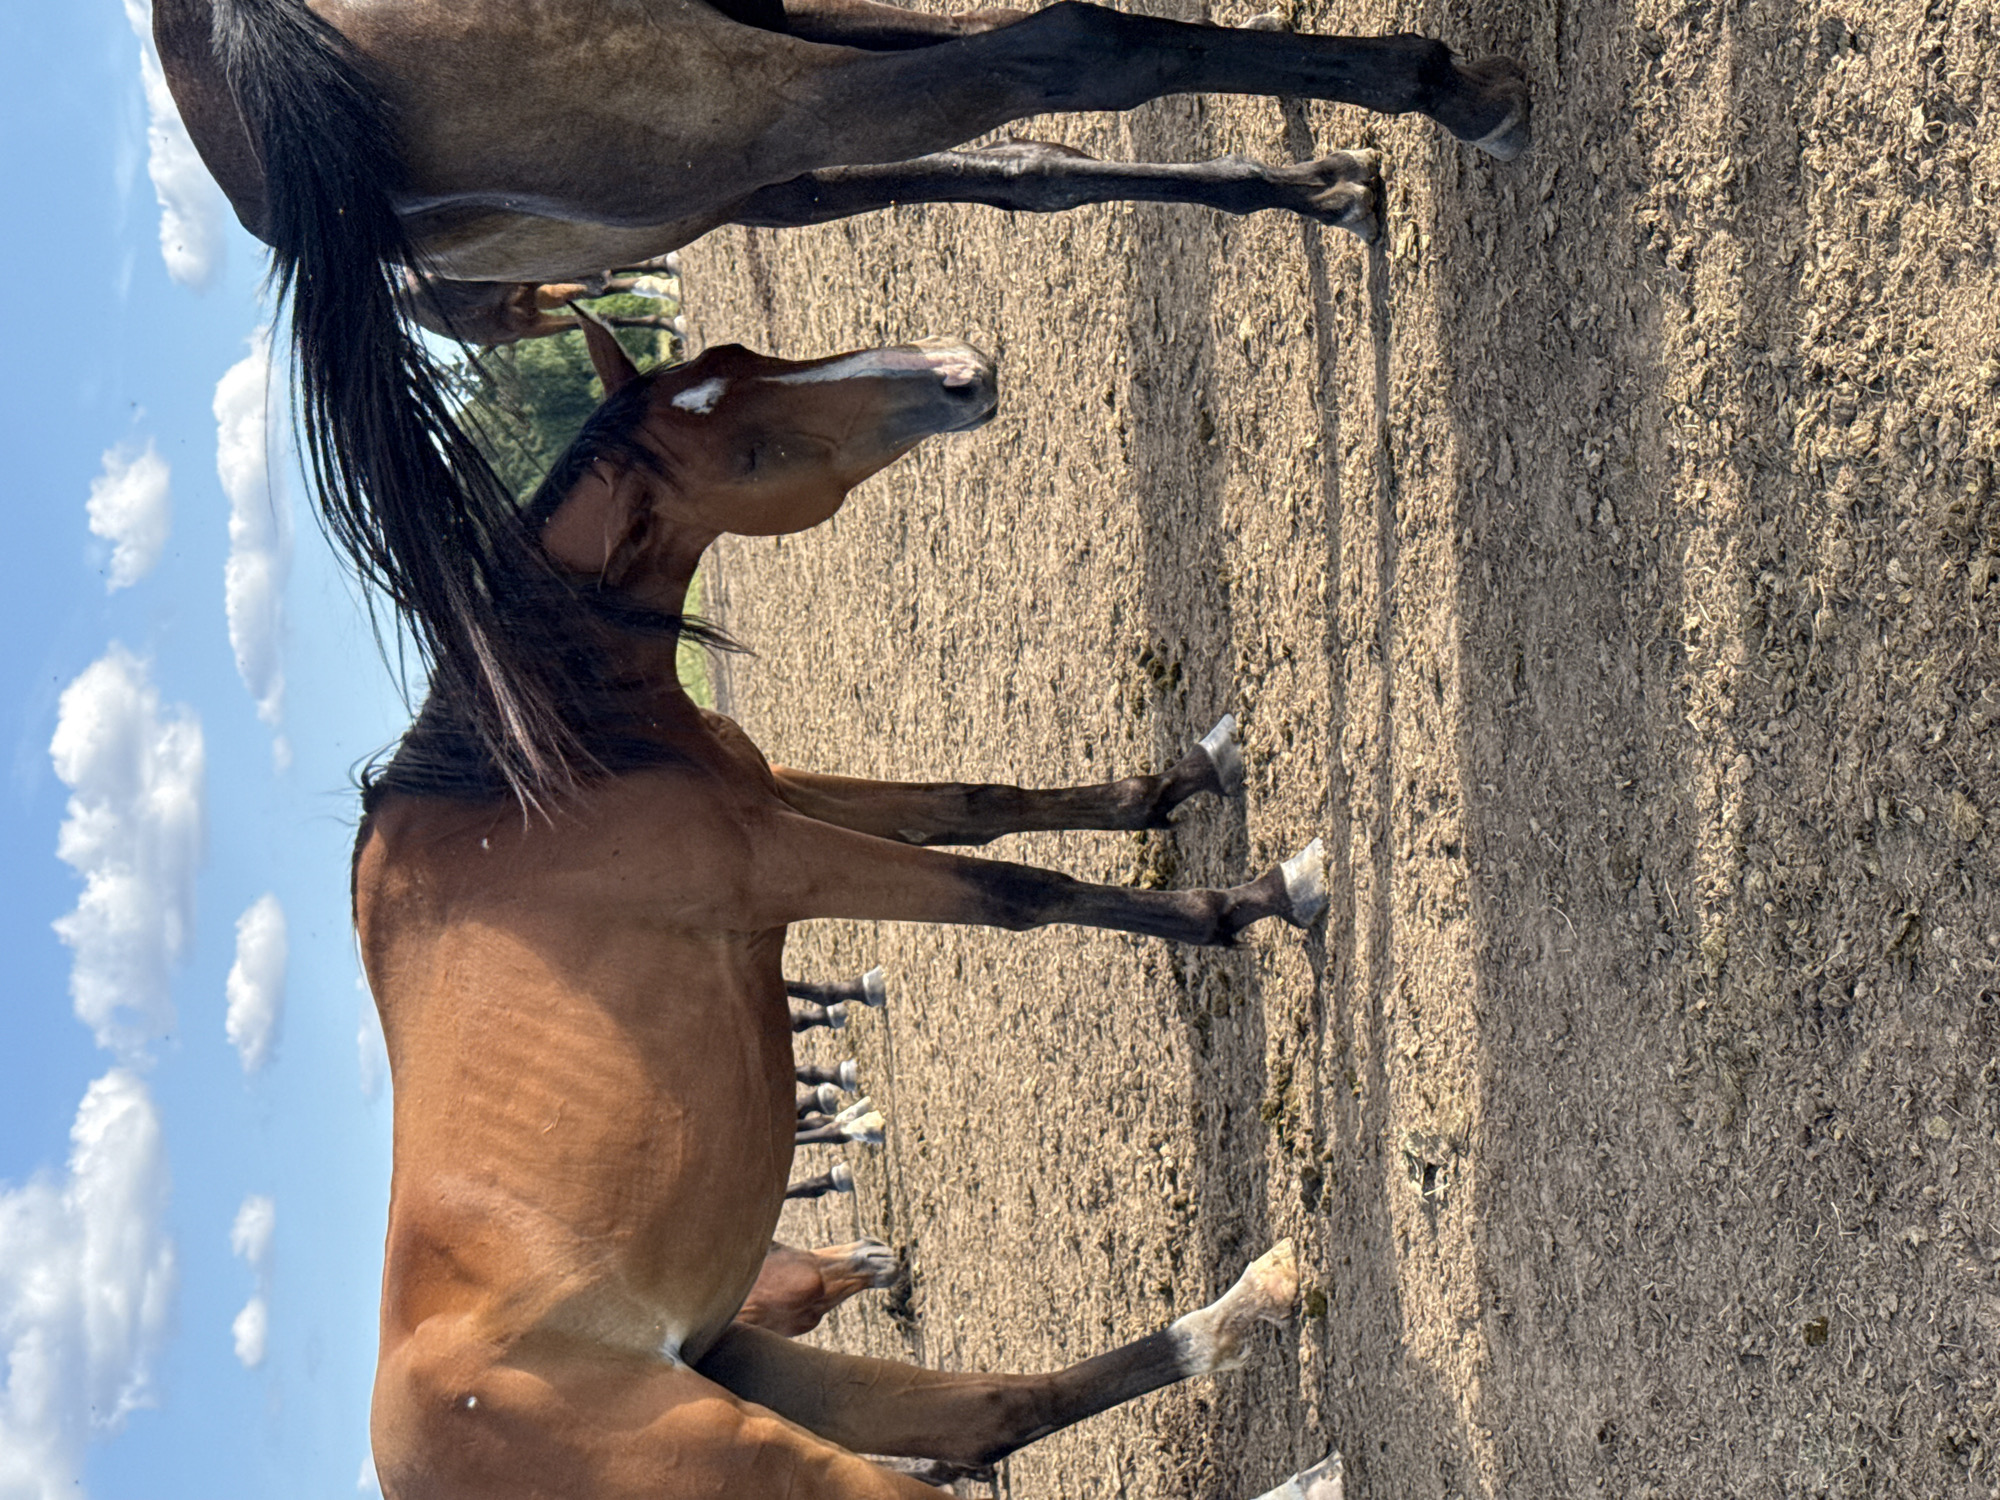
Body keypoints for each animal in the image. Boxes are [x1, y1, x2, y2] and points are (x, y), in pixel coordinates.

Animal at [350, 321, 1339, 1496]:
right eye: (750, 456)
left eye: (742, 357)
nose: (958, 373)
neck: (527, 778)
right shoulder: (783, 860)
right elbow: (1022, 891)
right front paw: (1253, 899)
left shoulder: (782, 794)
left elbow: (976, 804)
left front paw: (1180, 781)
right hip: (778, 1456)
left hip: (755, 1363)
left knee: (986, 1413)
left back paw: (1250, 1310)